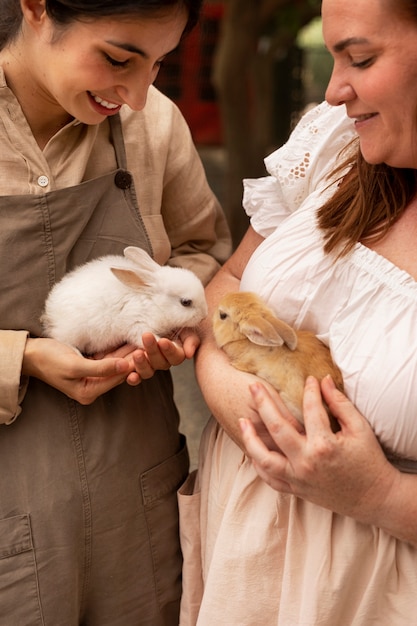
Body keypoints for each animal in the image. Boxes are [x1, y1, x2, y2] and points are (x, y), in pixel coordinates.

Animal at [40, 244, 206, 352]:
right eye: (186, 302)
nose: (204, 316)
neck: (153, 302)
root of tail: (49, 314)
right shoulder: (137, 325)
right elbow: (145, 338)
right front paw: (172, 345)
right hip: (71, 333)